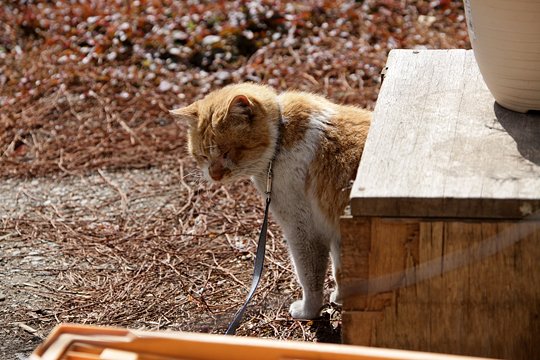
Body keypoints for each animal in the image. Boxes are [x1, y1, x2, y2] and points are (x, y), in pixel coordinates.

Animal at [173, 83, 372, 320]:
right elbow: (340, 270)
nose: (214, 175)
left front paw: (308, 311)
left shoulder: (304, 228)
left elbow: (310, 276)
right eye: (203, 156)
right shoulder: (334, 229)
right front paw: (341, 298)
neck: (281, 136)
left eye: (227, 151)